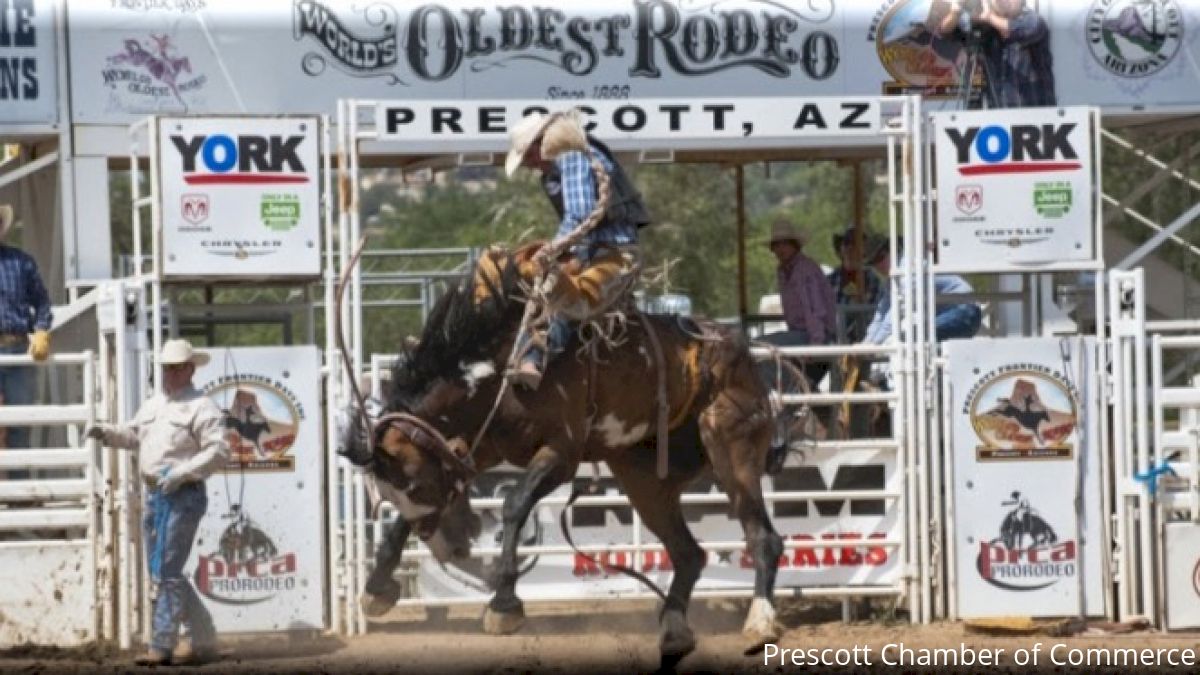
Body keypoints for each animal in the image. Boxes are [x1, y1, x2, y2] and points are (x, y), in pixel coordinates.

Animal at [338, 243, 787, 658]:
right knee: (689, 554)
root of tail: (737, 348)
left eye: (416, 484)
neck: (502, 366)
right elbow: (409, 519)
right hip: (644, 479)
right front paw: (376, 588)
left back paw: (760, 621)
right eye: (388, 491)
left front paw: (504, 604)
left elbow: (515, 505)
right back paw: (675, 628)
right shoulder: (482, 448)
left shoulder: (562, 454)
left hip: (731, 447)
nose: (453, 549)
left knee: (762, 538)